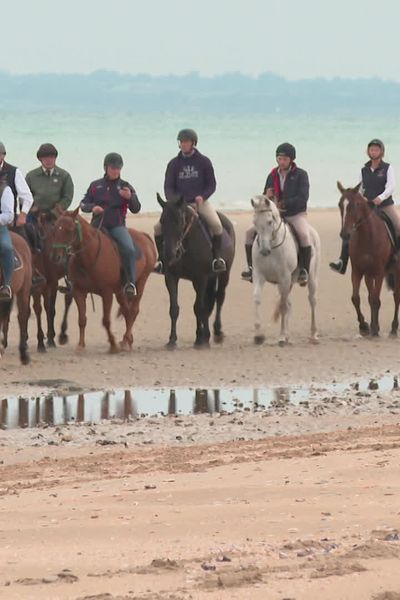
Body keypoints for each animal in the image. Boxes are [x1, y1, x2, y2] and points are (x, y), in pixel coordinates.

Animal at [50, 210, 156, 354]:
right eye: (55, 228)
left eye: (70, 230)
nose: (56, 256)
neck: (89, 257)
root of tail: (145, 236)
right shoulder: (79, 292)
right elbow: (82, 319)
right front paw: (81, 345)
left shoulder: (107, 293)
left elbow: (106, 321)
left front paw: (113, 345)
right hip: (120, 291)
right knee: (126, 311)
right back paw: (127, 340)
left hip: (141, 282)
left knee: (133, 310)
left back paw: (125, 341)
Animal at [156, 195, 236, 346]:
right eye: (162, 220)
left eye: (179, 221)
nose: (169, 254)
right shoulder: (171, 277)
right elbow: (174, 309)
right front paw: (172, 340)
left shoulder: (201, 278)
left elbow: (199, 307)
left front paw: (201, 340)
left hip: (224, 274)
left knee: (219, 297)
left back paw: (216, 332)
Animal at [252, 196, 320, 344]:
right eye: (254, 222)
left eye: (269, 221)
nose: (264, 251)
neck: (272, 246)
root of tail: (312, 231)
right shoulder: (259, 276)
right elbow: (257, 299)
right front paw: (258, 335)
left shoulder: (284, 278)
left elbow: (282, 306)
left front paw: (282, 336)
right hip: (285, 283)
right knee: (289, 303)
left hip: (311, 279)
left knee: (312, 301)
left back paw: (313, 334)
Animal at [338, 180, 400, 336]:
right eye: (340, 204)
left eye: (355, 205)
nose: (345, 234)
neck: (367, 236)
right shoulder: (358, 271)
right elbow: (357, 298)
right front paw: (365, 326)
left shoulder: (379, 272)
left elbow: (376, 300)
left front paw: (374, 329)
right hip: (368, 275)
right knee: (371, 297)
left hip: (396, 271)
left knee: (396, 296)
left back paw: (394, 328)